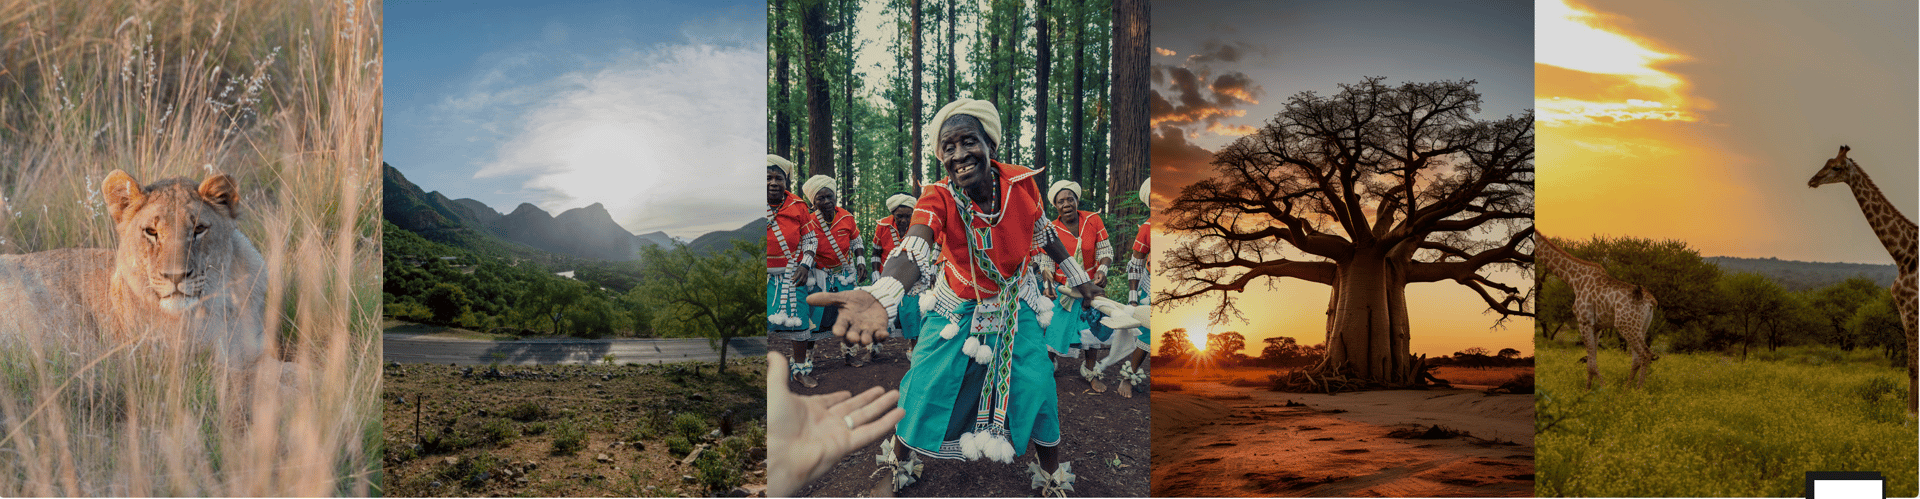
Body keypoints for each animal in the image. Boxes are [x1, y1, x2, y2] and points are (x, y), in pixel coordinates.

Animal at [1536, 233, 1658, 389]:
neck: (1573, 279)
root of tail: (1651, 302)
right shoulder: (1597, 326)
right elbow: (1591, 361)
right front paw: (1588, 390)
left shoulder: (1584, 322)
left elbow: (1591, 364)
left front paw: (1604, 388)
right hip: (1641, 327)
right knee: (1637, 358)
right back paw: (1627, 389)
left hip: (1626, 325)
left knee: (1646, 354)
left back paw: (1638, 390)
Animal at [1804, 145, 1912, 414]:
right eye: (1826, 162)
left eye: (1836, 167)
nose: (1813, 180)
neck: (1902, 255)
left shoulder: (1910, 307)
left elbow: (1913, 366)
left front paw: (1910, 418)